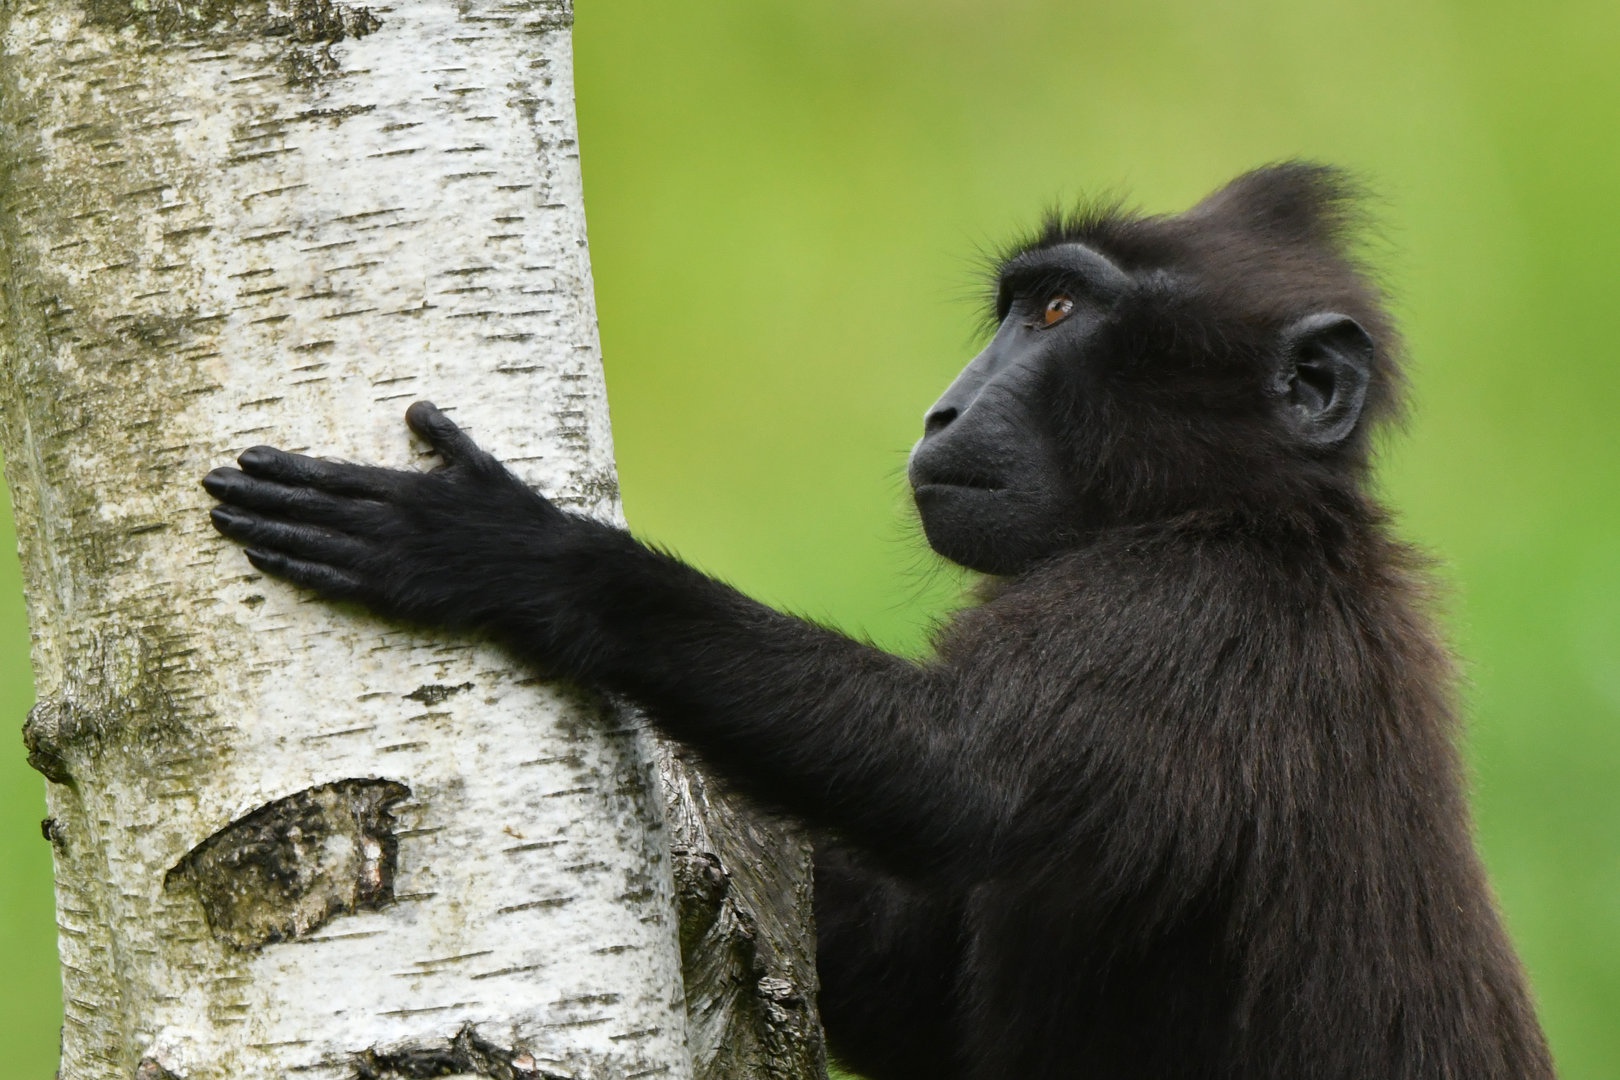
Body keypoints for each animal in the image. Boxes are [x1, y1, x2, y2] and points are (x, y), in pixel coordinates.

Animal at [203, 163, 1555, 1080]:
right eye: (1015, 307)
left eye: (1057, 316)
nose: (941, 413)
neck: (1243, 512)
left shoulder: (1194, 615)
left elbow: (956, 785)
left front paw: (522, 558)